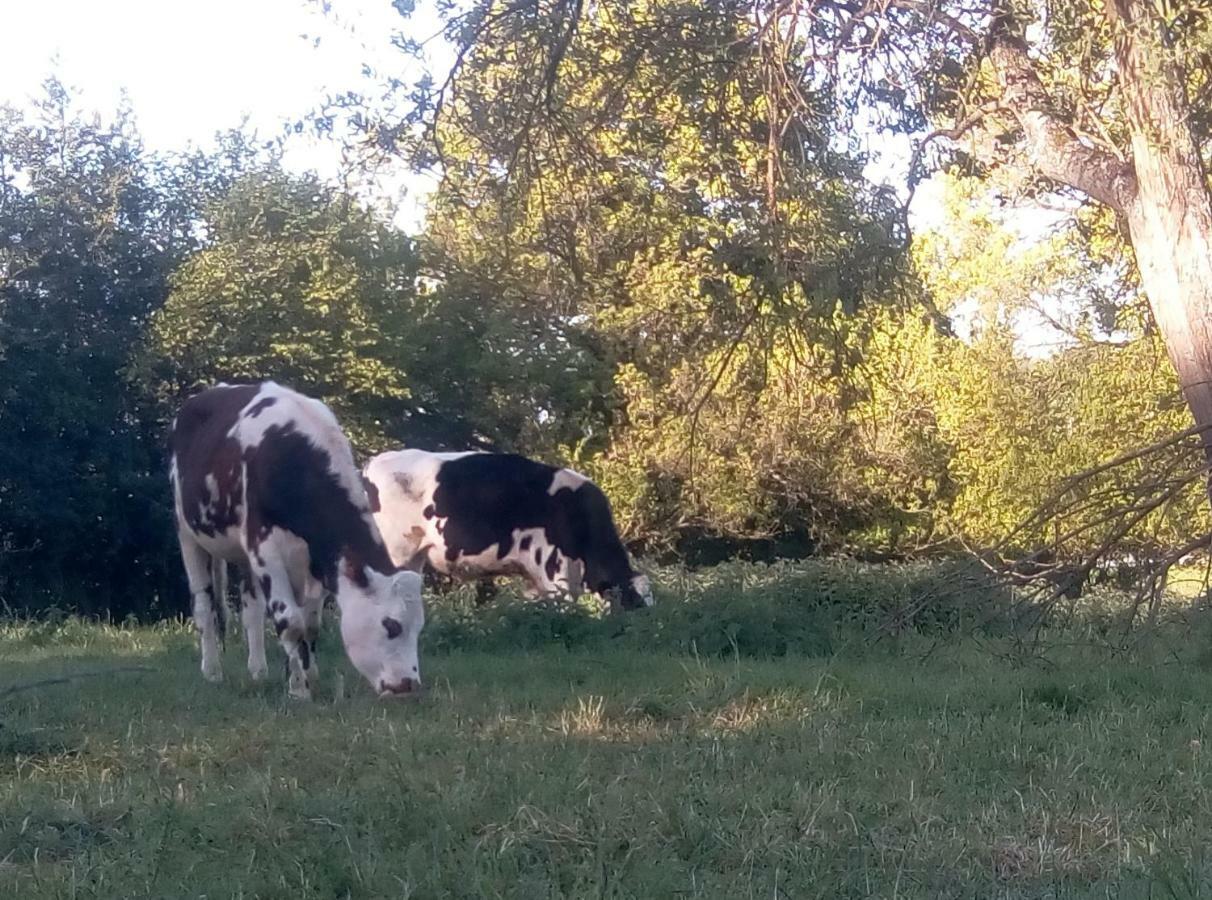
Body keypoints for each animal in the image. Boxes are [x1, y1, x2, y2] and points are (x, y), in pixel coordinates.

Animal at [169, 382, 426, 702]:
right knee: (204, 605)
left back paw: (258, 672)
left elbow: (311, 622)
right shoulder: (264, 547)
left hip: (243, 554)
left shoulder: (316, 557)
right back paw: (213, 672)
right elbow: (290, 621)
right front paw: (298, 689)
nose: (408, 685)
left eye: (419, 627)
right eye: (391, 625)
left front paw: (307, 674)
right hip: (188, 533)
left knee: (251, 610)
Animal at [363, 450, 659, 612]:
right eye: (633, 600)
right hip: (394, 550)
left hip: (412, 557)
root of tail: (374, 463)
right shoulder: (554, 568)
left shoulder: (537, 577)